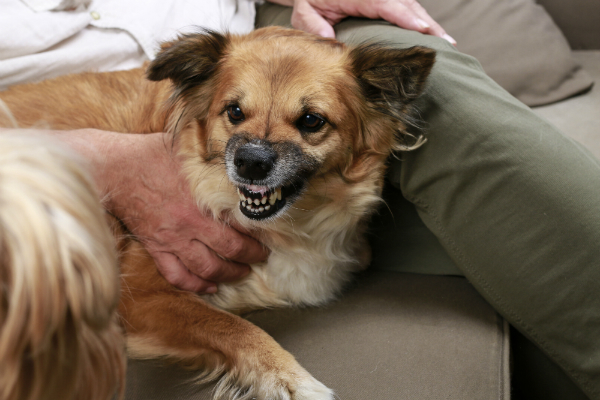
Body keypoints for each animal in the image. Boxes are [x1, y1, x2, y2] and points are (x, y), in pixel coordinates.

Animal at [0, 26, 434, 398]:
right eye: (235, 112)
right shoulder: (138, 296)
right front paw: (288, 379)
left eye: (311, 120)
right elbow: (234, 327)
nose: (251, 162)